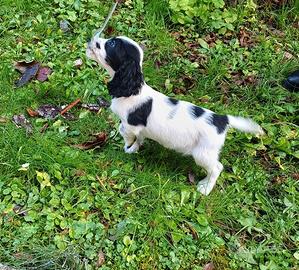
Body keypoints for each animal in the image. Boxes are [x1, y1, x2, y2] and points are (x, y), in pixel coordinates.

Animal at [85, 34, 264, 195]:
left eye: (112, 44)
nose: (90, 39)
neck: (133, 90)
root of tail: (222, 119)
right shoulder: (141, 129)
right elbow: (139, 139)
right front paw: (133, 149)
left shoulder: (131, 125)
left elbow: (124, 132)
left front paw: (127, 146)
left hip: (203, 153)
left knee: (216, 168)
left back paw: (205, 188)